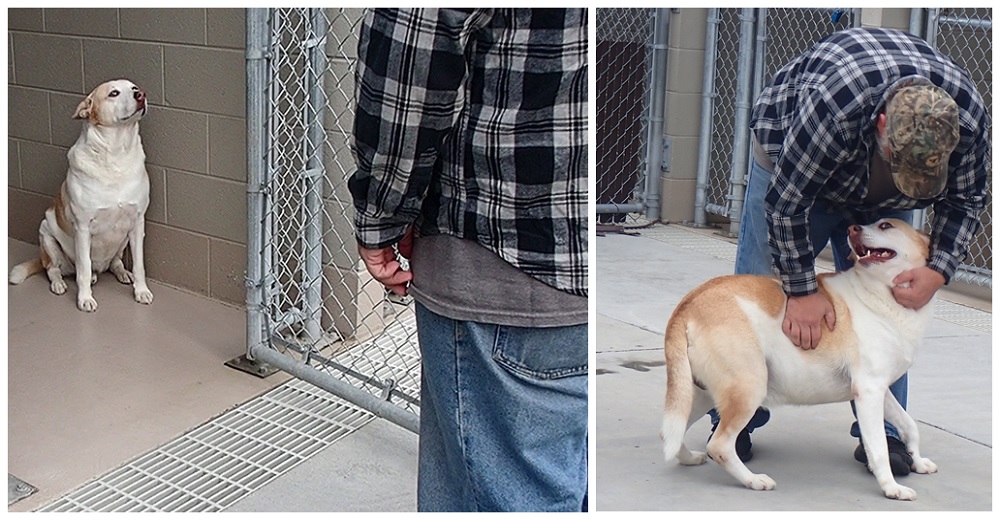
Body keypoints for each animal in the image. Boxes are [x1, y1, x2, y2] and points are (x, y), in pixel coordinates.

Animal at [9, 79, 154, 310]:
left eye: (134, 88)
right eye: (113, 93)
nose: (141, 95)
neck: (116, 156)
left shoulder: (138, 222)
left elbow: (139, 265)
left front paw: (141, 291)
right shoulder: (83, 227)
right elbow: (83, 268)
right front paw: (85, 298)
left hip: (123, 241)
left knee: (115, 263)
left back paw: (122, 273)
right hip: (46, 235)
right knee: (54, 269)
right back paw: (60, 284)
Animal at [664, 218, 936, 500]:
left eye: (885, 225)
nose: (852, 228)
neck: (881, 294)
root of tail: (689, 304)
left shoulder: (881, 391)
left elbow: (909, 425)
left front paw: (917, 461)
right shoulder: (869, 391)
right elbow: (879, 447)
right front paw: (891, 487)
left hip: (701, 395)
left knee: (672, 432)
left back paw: (688, 458)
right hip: (749, 388)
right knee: (719, 445)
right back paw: (753, 480)